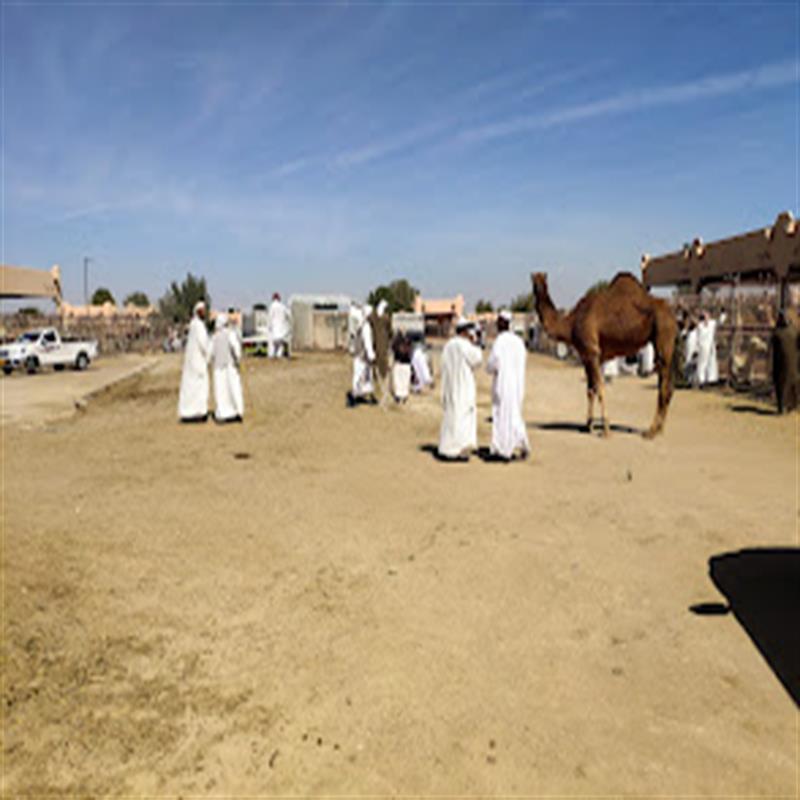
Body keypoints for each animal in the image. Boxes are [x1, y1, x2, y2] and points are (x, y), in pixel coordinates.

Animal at [536, 274, 680, 438]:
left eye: (542, 280)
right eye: (534, 280)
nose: (538, 285)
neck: (571, 323)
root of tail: (673, 316)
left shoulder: (593, 352)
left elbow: (600, 388)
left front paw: (605, 429)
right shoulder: (586, 356)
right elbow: (590, 390)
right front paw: (588, 426)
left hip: (663, 336)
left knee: (664, 385)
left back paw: (651, 431)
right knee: (668, 385)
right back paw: (660, 429)